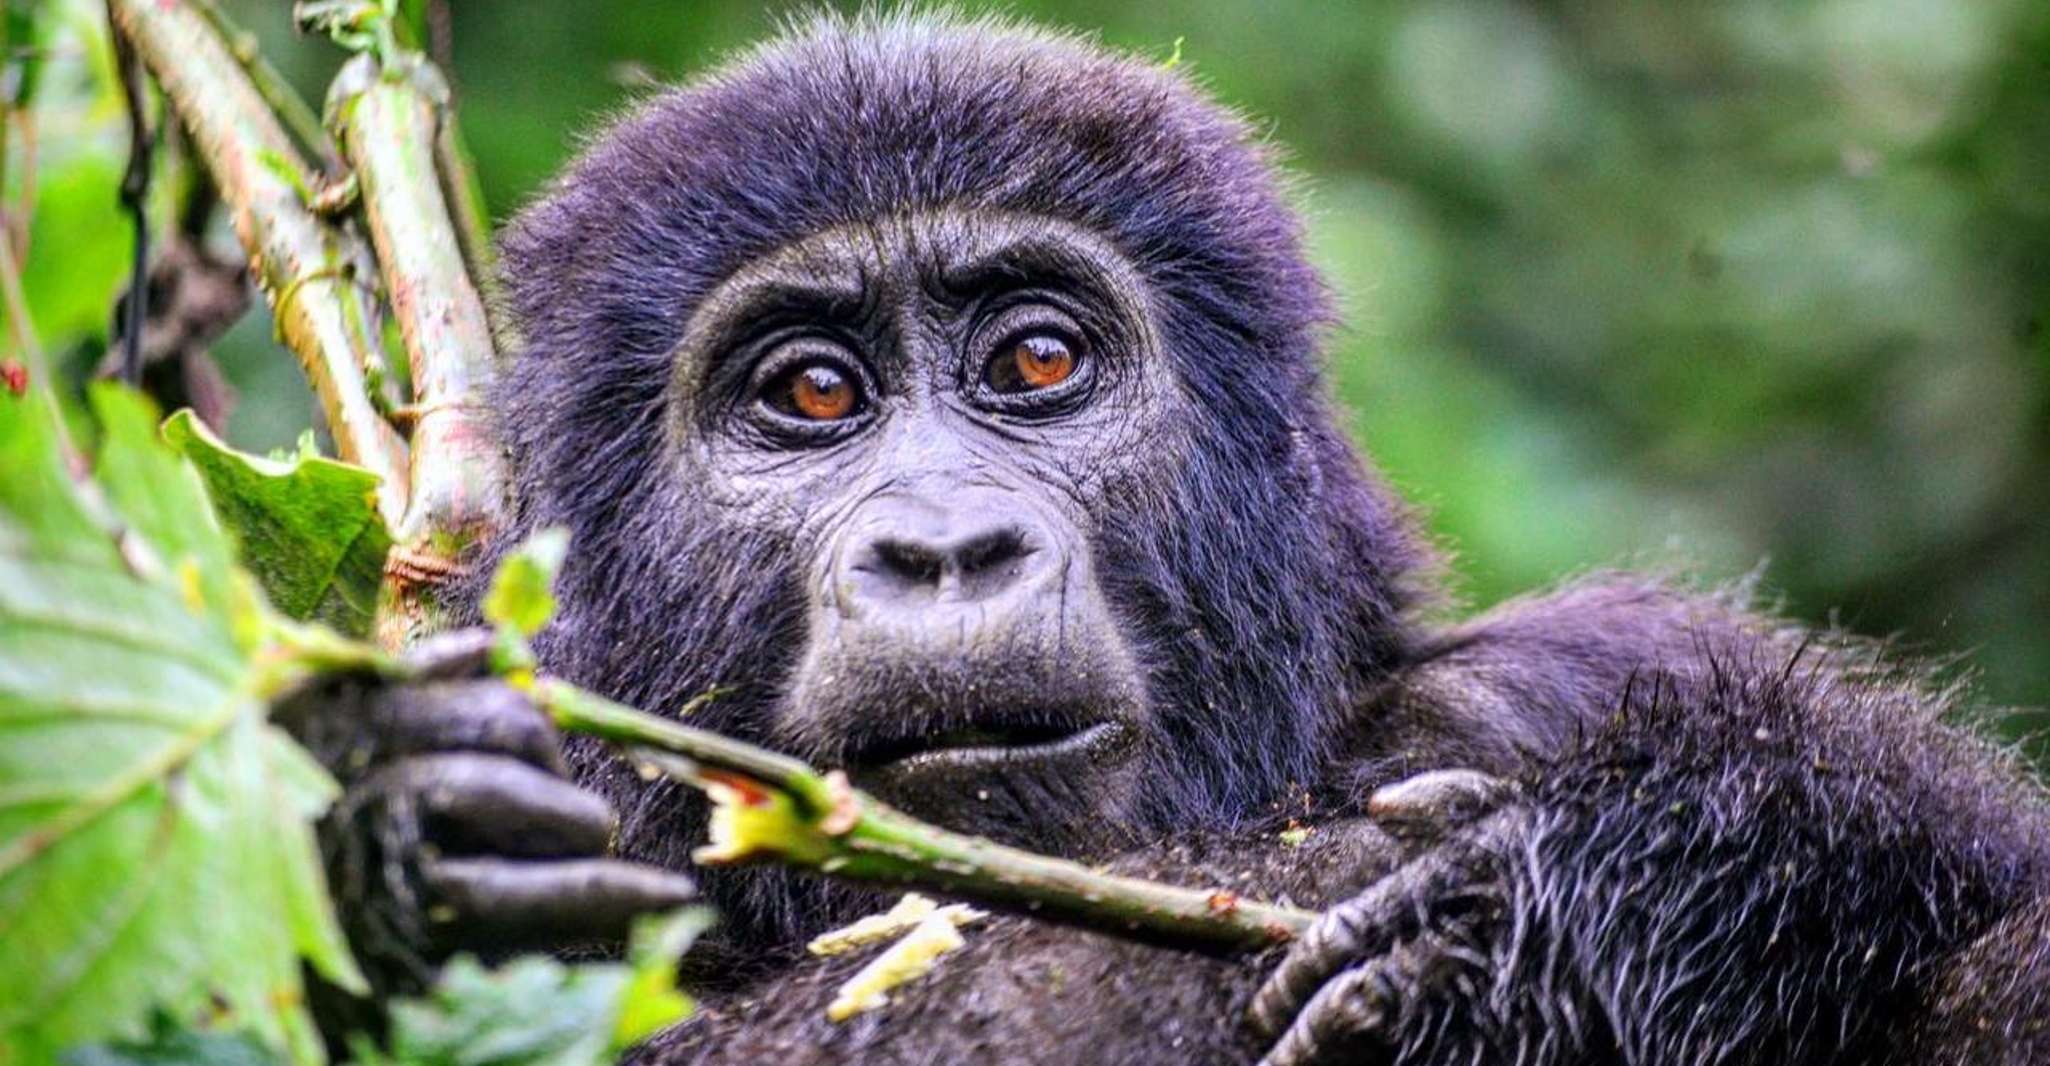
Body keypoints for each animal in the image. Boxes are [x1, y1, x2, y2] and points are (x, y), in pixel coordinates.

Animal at [282, 12, 2050, 1064]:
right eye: (810, 392)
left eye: (1035, 362)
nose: (946, 548)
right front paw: (389, 821)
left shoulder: (1611, 658)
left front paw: (1587, 892)